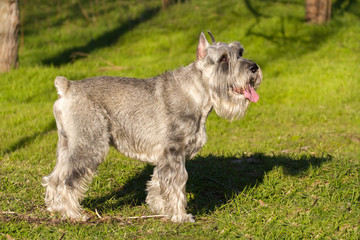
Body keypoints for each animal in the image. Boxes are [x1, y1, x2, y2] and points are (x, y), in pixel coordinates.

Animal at [41, 31, 262, 223]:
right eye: (223, 58)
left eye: (240, 51)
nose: (254, 68)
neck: (196, 92)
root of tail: (67, 87)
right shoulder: (174, 151)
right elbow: (177, 183)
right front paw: (180, 216)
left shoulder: (165, 155)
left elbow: (158, 183)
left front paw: (161, 209)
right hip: (89, 146)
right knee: (69, 181)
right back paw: (73, 214)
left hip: (67, 145)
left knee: (54, 178)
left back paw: (54, 208)